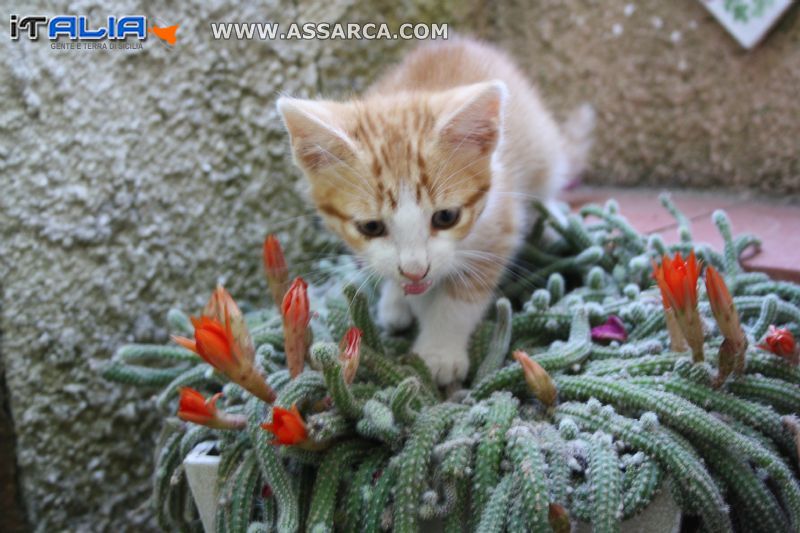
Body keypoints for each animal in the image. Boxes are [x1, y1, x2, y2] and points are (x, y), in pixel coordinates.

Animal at [278, 38, 592, 386]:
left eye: (446, 217)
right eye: (371, 227)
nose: (415, 270)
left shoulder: (500, 221)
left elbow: (462, 296)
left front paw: (439, 351)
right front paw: (404, 298)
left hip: (542, 149)